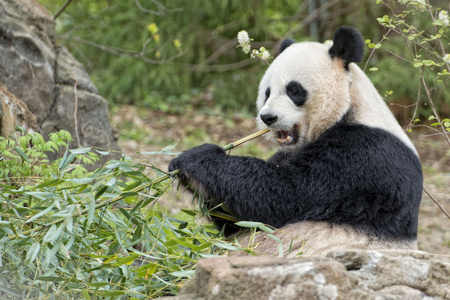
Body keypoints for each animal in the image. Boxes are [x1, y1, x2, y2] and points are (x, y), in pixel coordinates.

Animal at [169, 27, 422, 256]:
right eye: (267, 92)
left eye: (294, 90)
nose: (268, 117)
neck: (350, 107)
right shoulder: (288, 152)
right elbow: (237, 220)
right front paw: (180, 170)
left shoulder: (364, 155)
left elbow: (284, 194)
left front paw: (196, 157)